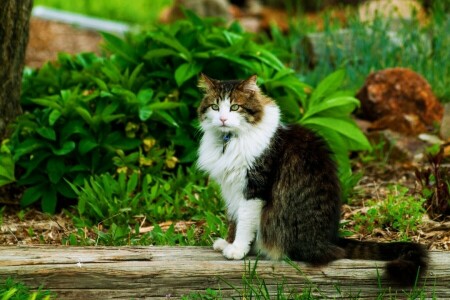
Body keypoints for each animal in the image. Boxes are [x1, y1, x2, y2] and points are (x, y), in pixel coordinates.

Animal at [197, 73, 428, 286]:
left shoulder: (253, 188)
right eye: (215, 107)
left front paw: (237, 250)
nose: (223, 119)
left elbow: (244, 223)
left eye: (235, 107)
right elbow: (233, 220)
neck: (228, 142)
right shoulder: (231, 190)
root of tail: (329, 240)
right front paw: (228, 243)